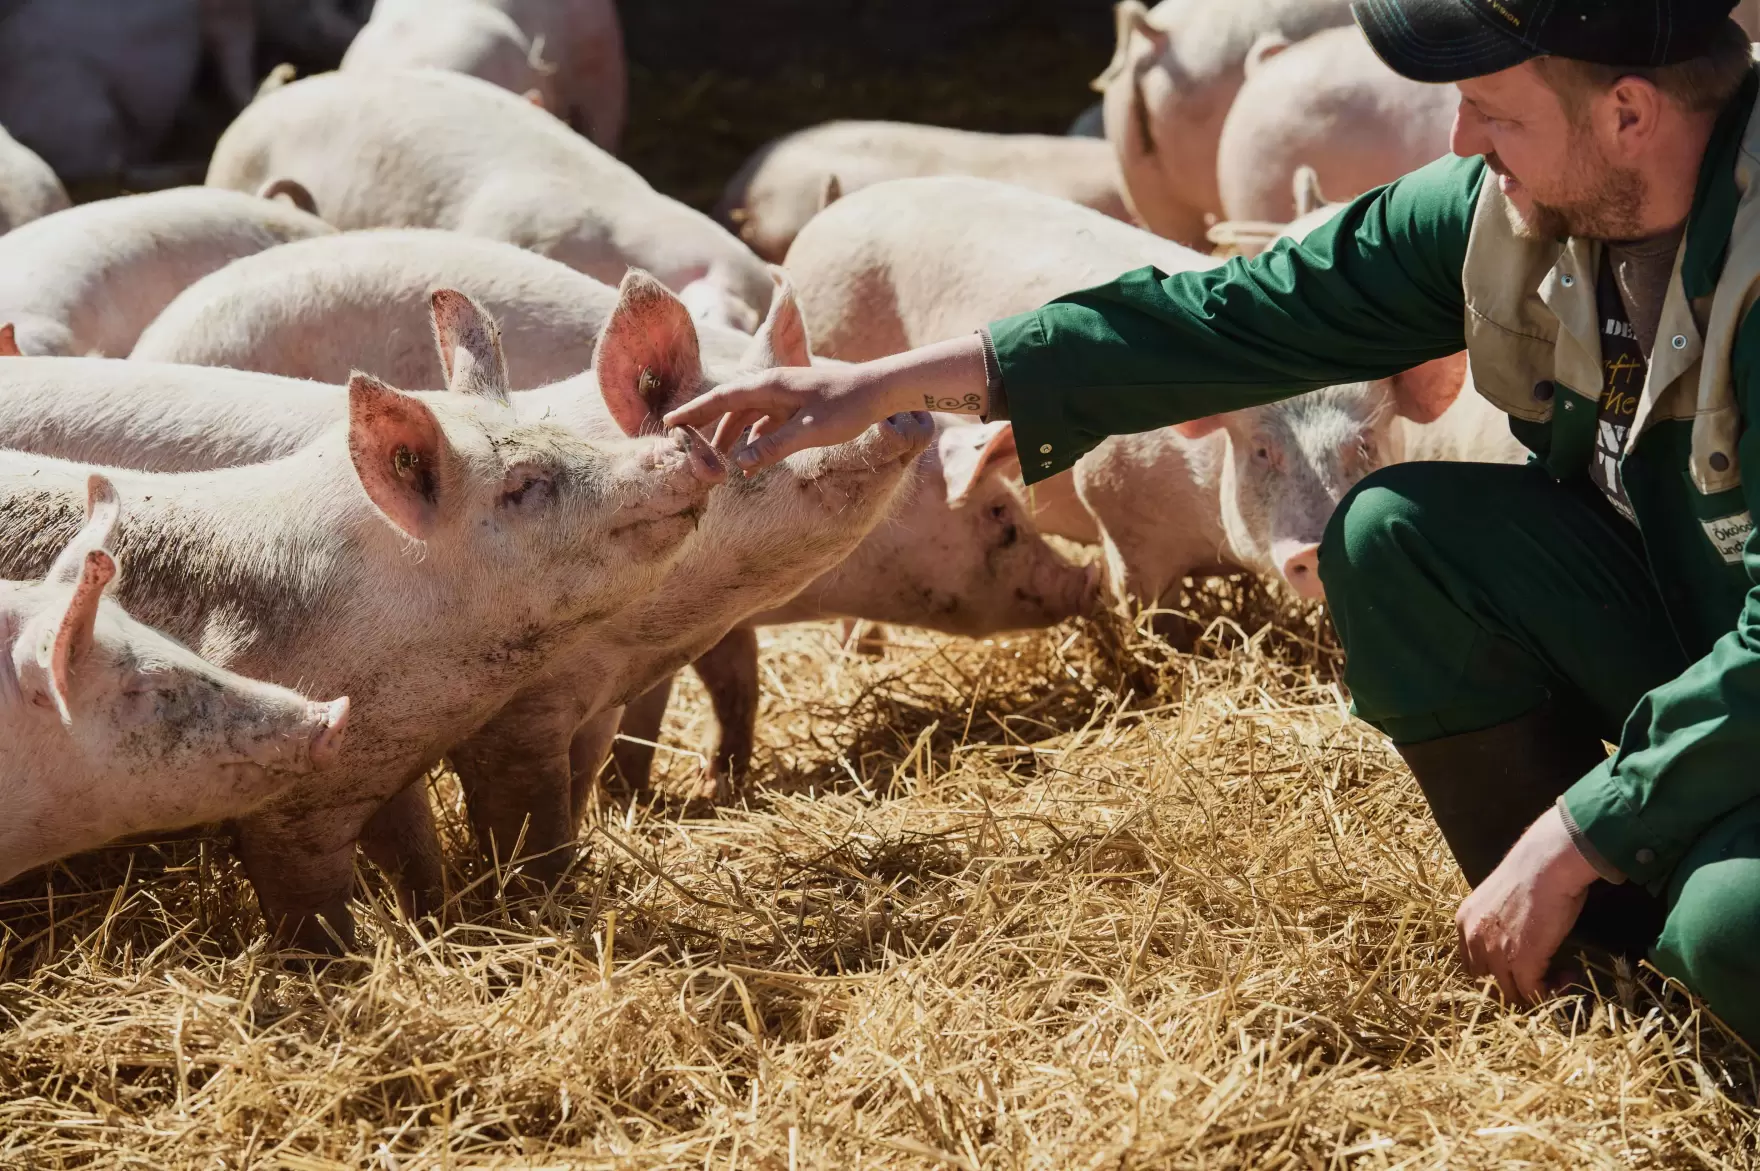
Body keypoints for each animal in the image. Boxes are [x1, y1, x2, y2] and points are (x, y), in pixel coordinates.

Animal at [782, 176, 1524, 614]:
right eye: (1261, 451)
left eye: (1365, 443)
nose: (1315, 549)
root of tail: (830, 212)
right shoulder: (1118, 515)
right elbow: (1142, 604)